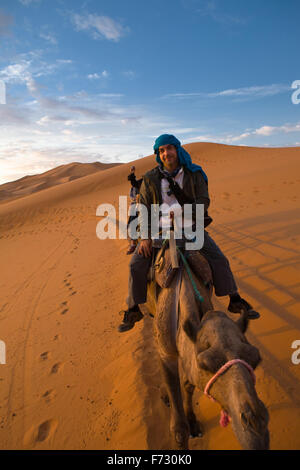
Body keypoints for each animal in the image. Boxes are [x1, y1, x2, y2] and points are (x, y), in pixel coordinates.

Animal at [145, 248, 270, 450]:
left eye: (255, 359)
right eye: (206, 364)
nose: (257, 428)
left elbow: (188, 384)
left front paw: (193, 423)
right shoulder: (168, 352)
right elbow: (179, 430)